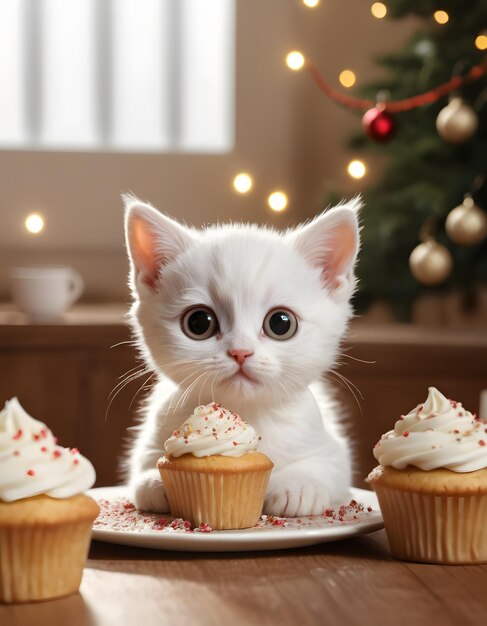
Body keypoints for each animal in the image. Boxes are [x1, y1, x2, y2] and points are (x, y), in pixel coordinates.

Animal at [124, 196, 360, 516]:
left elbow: (328, 466)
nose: (240, 351)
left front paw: (297, 487)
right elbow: (143, 466)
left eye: (281, 323)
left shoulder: (332, 448)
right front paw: (153, 481)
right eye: (198, 322)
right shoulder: (150, 439)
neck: (245, 412)